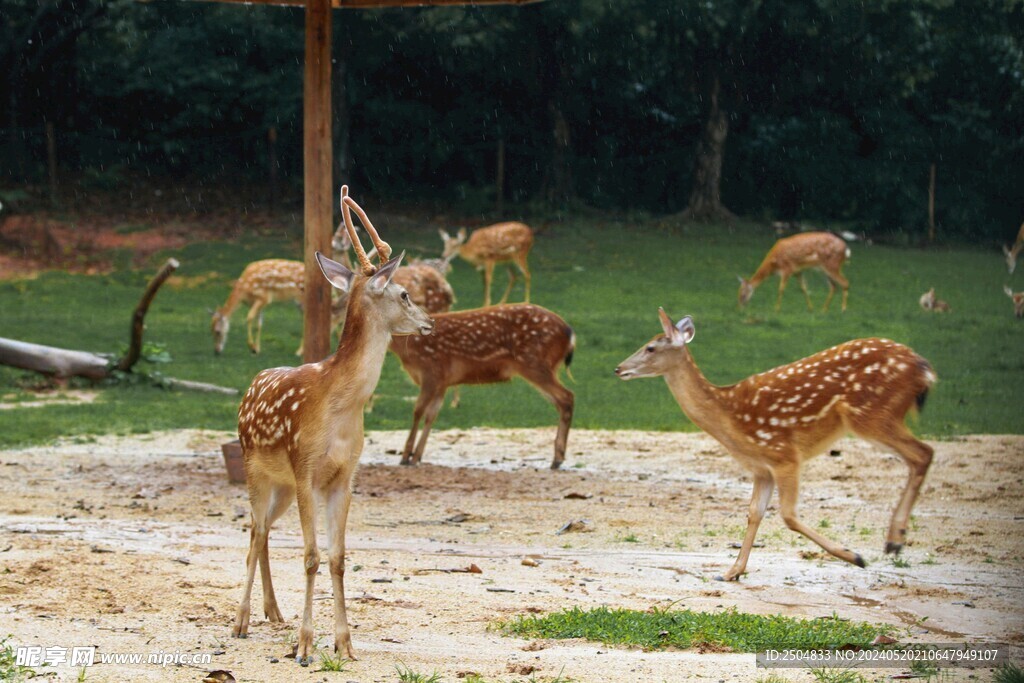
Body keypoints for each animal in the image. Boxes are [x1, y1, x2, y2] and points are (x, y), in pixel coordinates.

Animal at [231, 187, 434, 665]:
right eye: (404, 294)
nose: (429, 322)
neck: (340, 407)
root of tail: (249, 387)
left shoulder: (344, 475)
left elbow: (338, 558)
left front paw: (344, 642)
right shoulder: (306, 467)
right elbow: (310, 556)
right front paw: (305, 646)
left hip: (282, 485)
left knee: (263, 533)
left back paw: (273, 612)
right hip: (255, 467)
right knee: (255, 530)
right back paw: (242, 620)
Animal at [391, 303, 575, 469]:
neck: (407, 347)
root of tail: (570, 333)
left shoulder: (431, 371)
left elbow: (418, 411)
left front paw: (406, 457)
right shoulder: (442, 382)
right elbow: (431, 415)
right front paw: (416, 456)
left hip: (534, 362)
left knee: (567, 396)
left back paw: (557, 459)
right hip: (542, 366)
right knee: (560, 401)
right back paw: (558, 457)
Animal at [615, 309, 935, 581]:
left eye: (650, 348)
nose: (618, 368)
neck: (729, 416)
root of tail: (924, 369)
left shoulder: (784, 454)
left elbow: (789, 515)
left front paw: (853, 555)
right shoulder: (762, 468)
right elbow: (754, 513)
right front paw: (732, 572)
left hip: (871, 414)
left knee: (923, 453)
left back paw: (894, 539)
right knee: (920, 455)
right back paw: (895, 540)